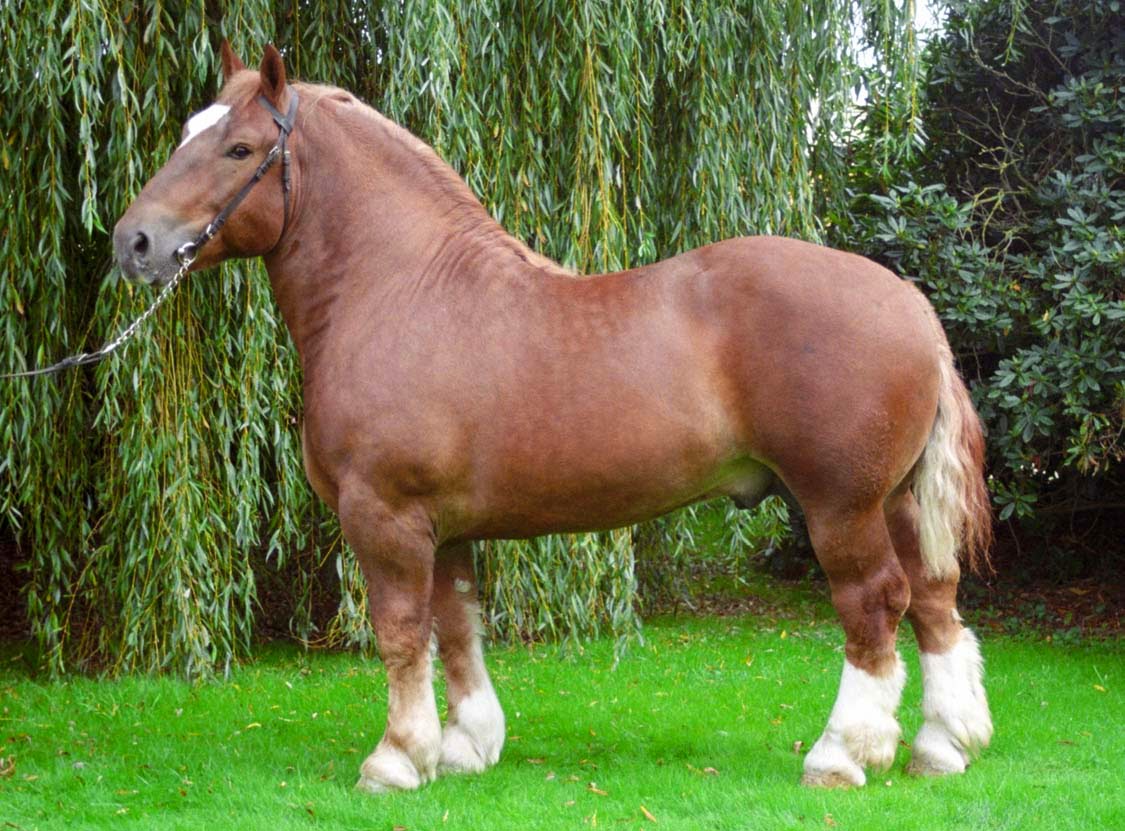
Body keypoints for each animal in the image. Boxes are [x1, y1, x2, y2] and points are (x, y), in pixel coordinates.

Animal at [112, 42, 994, 793]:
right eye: (188, 133)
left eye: (238, 148)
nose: (135, 241)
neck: (398, 289)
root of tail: (907, 302)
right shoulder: (445, 529)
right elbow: (456, 627)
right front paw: (463, 747)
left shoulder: (384, 514)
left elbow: (399, 630)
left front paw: (396, 758)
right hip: (896, 502)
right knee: (934, 600)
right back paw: (940, 746)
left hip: (840, 506)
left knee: (874, 603)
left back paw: (841, 753)